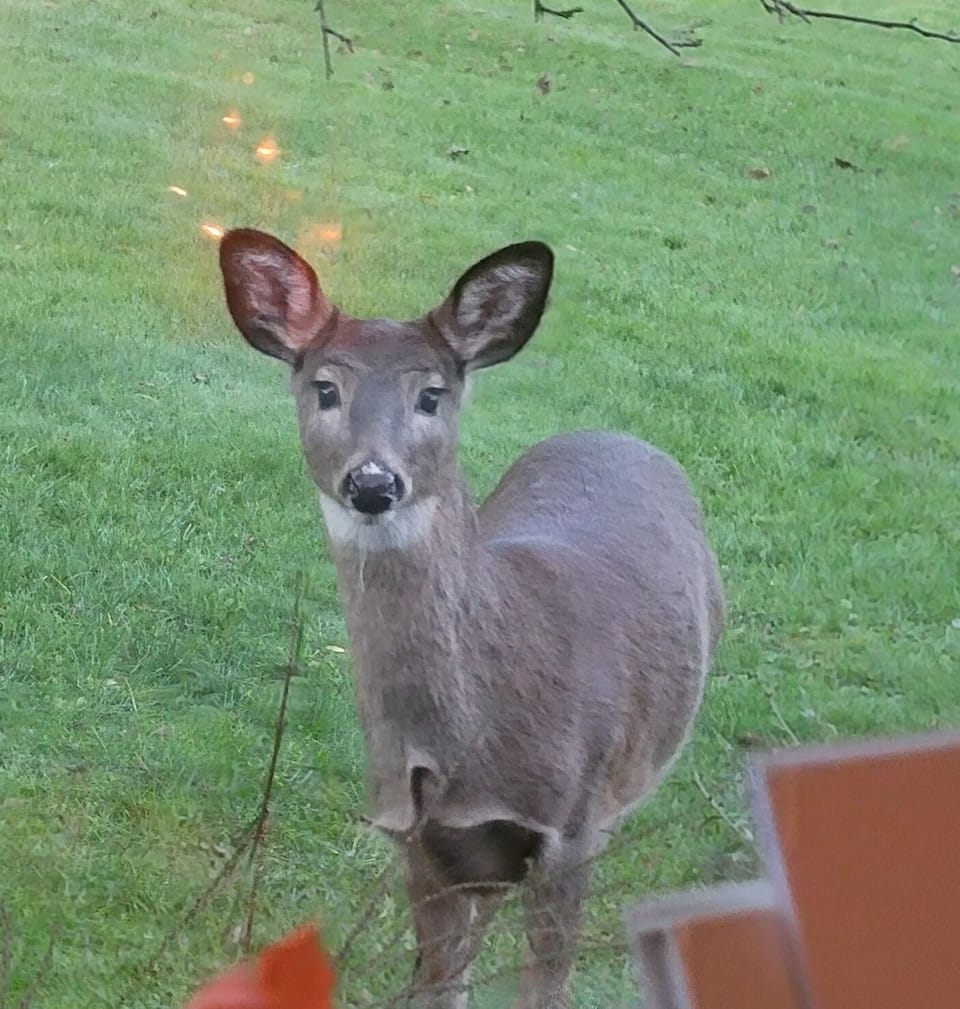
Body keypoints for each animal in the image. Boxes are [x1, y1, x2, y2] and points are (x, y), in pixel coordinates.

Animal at [217, 229, 724, 1009]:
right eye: (326, 389)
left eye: (432, 394)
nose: (373, 482)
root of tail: (616, 435)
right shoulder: (419, 836)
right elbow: (438, 985)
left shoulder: (571, 830)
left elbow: (547, 987)